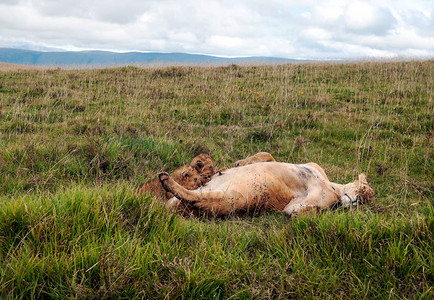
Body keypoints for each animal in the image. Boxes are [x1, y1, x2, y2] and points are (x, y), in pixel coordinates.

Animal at [158, 152, 374, 216]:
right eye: (364, 190)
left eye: (367, 200)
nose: (359, 200)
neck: (331, 184)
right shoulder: (313, 165)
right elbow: (267, 155)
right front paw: (240, 163)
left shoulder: (305, 203)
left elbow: (298, 209)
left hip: (230, 197)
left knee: (195, 198)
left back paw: (166, 180)